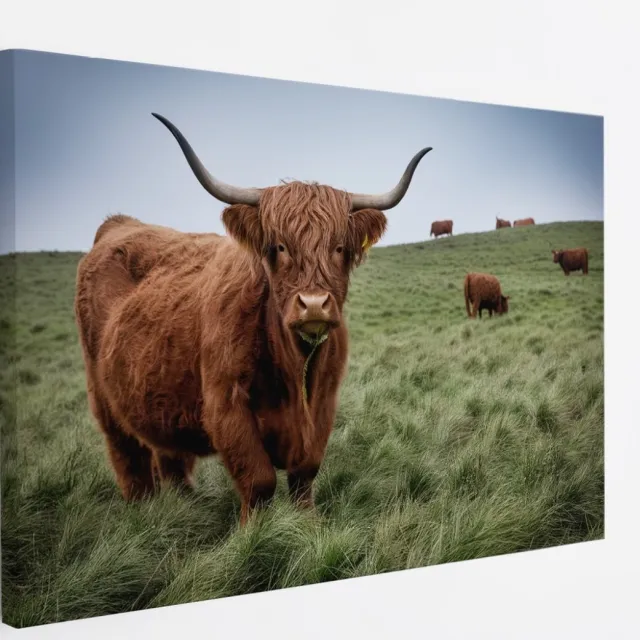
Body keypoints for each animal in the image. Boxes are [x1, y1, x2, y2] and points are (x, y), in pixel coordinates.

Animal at [74, 113, 433, 525]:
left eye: (339, 247)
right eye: (280, 246)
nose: (314, 305)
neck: (293, 365)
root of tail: (118, 223)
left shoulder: (324, 404)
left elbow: (304, 474)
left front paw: (307, 525)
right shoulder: (226, 406)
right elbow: (259, 479)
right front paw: (253, 533)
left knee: (170, 458)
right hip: (104, 399)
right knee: (129, 459)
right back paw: (140, 513)